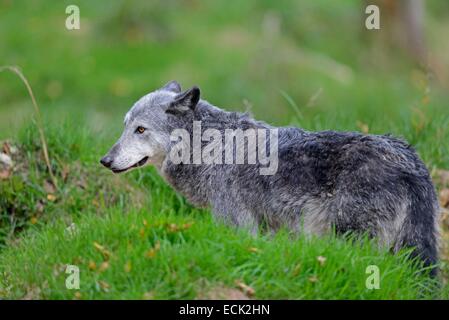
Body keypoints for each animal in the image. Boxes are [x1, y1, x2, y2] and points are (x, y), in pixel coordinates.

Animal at [100, 80, 438, 272]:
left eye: (140, 129)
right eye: (125, 126)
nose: (105, 160)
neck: (211, 148)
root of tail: (412, 164)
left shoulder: (237, 225)